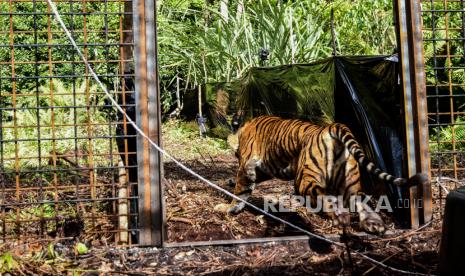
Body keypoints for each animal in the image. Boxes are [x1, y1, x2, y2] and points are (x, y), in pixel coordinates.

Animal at [218, 115, 428, 234]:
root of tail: (332, 126)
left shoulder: (247, 166)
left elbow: (241, 190)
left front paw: (227, 207)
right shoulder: (263, 169)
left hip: (304, 180)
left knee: (327, 199)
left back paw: (338, 218)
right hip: (351, 184)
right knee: (360, 201)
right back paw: (375, 225)